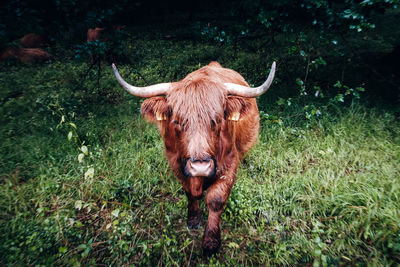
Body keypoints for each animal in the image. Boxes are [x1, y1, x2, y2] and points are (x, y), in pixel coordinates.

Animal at [112, 61, 276, 255]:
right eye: (176, 121)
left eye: (217, 120)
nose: (200, 167)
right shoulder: (176, 163)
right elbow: (189, 193)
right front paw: (193, 220)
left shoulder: (229, 163)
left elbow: (216, 199)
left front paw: (211, 241)